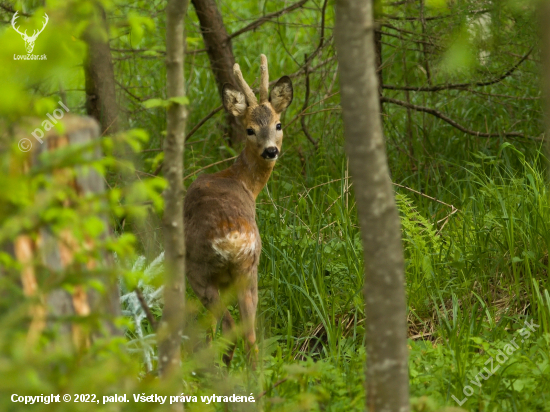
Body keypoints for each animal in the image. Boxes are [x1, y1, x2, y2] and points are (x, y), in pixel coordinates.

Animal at [184, 54, 296, 366]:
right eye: (250, 129)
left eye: (278, 125)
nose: (271, 151)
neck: (240, 180)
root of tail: (232, 239)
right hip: (250, 268)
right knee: (249, 337)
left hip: (200, 271)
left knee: (226, 325)